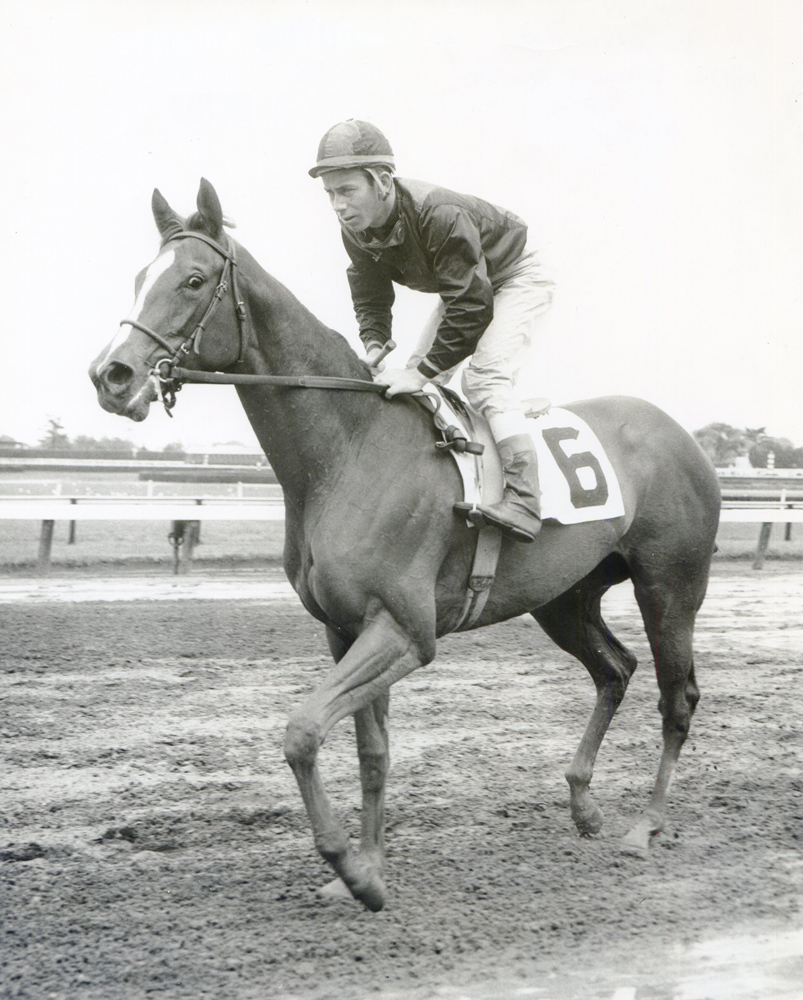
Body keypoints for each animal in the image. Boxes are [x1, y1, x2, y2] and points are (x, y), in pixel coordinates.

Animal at [89, 176, 724, 912]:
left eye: (192, 280)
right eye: (141, 278)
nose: (110, 375)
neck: (351, 446)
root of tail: (681, 433)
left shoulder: (404, 630)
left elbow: (303, 732)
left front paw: (353, 870)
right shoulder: (345, 629)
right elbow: (373, 751)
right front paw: (368, 865)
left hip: (669, 585)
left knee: (676, 698)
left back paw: (645, 825)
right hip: (564, 598)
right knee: (614, 671)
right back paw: (583, 804)